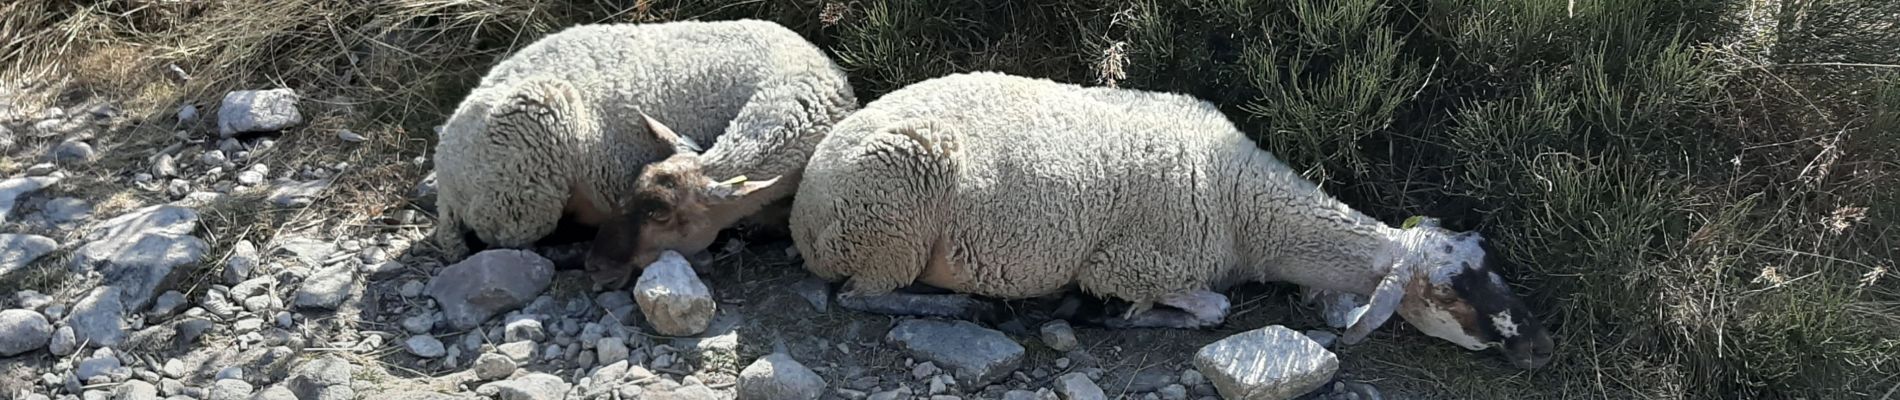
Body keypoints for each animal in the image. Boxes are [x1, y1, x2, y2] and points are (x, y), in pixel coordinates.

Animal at [592, 72, 1558, 369]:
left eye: (1489, 262)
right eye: (1454, 290)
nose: (1537, 343)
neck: (1247, 204)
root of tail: (811, 195)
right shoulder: (1132, 261)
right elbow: (1203, 307)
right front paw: (1120, 318)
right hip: (892, 217)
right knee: (863, 298)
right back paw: (959, 305)